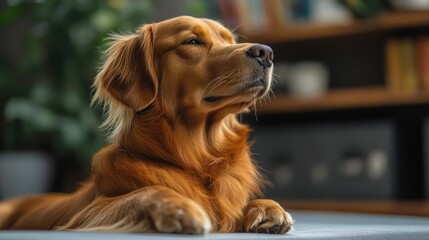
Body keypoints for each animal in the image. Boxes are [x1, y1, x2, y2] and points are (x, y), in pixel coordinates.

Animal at [0, 15, 290, 234]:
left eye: (230, 41)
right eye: (192, 41)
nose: (266, 53)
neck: (199, 161)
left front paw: (264, 207)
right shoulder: (84, 215)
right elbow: (146, 192)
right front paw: (180, 207)